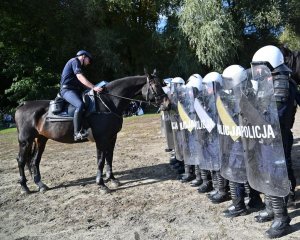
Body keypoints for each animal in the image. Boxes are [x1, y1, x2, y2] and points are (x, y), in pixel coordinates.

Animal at [15, 72, 170, 194]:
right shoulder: (101, 139)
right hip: (25, 141)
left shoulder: (112, 137)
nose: (167, 103)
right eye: (155, 86)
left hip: (40, 139)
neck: (107, 102)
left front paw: (112, 179)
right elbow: (100, 160)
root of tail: (22, 106)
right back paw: (24, 187)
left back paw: (40, 184)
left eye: (162, 84)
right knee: (21, 160)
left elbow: (109, 158)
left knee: (34, 161)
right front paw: (101, 184)